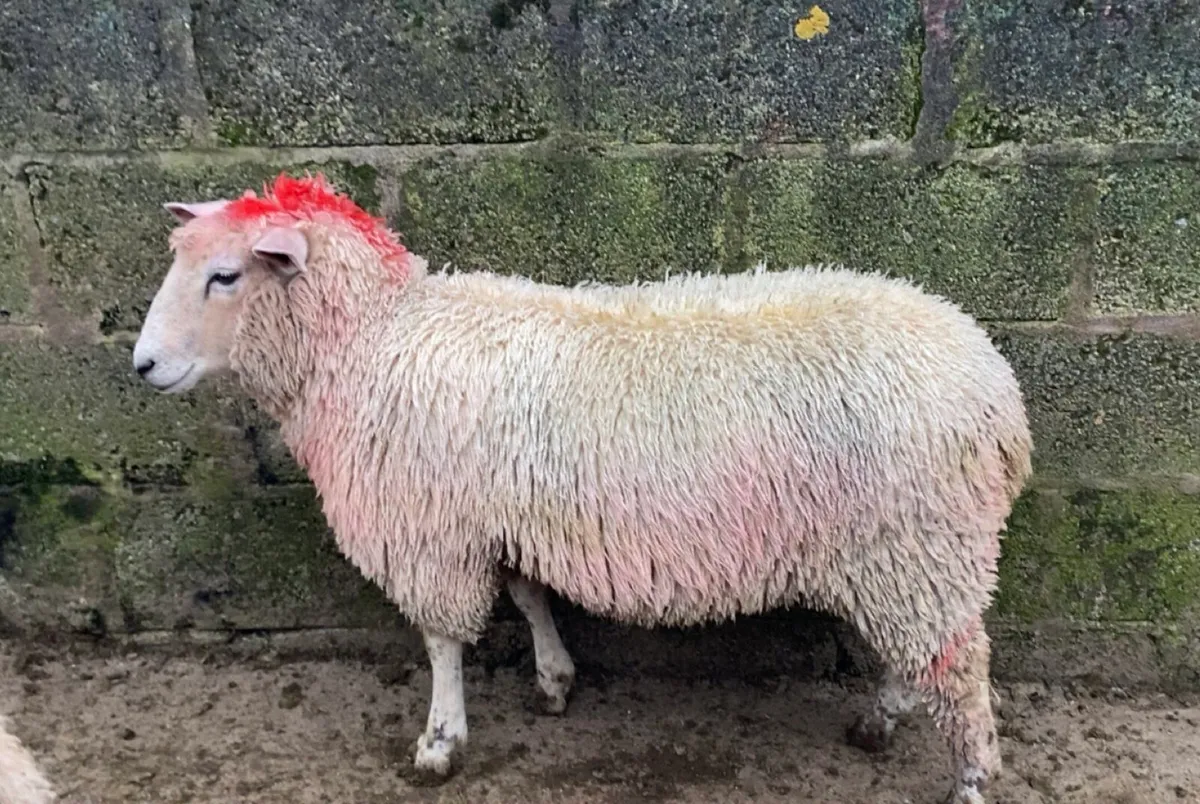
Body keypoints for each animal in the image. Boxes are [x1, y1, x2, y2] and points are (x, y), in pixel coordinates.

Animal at [132, 173, 1033, 804]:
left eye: (224, 275)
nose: (141, 366)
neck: (369, 338)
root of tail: (996, 389)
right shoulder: (502, 516)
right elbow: (529, 595)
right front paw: (555, 678)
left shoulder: (431, 531)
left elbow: (442, 640)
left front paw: (440, 742)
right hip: (903, 552)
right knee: (926, 652)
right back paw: (880, 720)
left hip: (919, 541)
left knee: (960, 666)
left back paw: (970, 777)